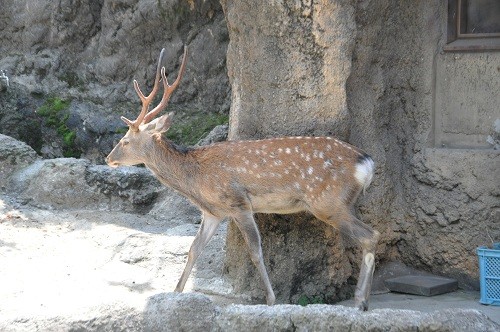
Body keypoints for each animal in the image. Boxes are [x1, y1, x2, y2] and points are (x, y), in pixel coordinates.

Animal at [105, 47, 378, 312]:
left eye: (125, 141)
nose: (108, 158)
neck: (196, 181)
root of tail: (366, 163)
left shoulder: (238, 202)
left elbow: (255, 251)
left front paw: (271, 300)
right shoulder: (213, 212)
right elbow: (194, 249)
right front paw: (175, 292)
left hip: (327, 201)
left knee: (371, 235)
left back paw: (360, 301)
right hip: (341, 202)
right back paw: (362, 300)